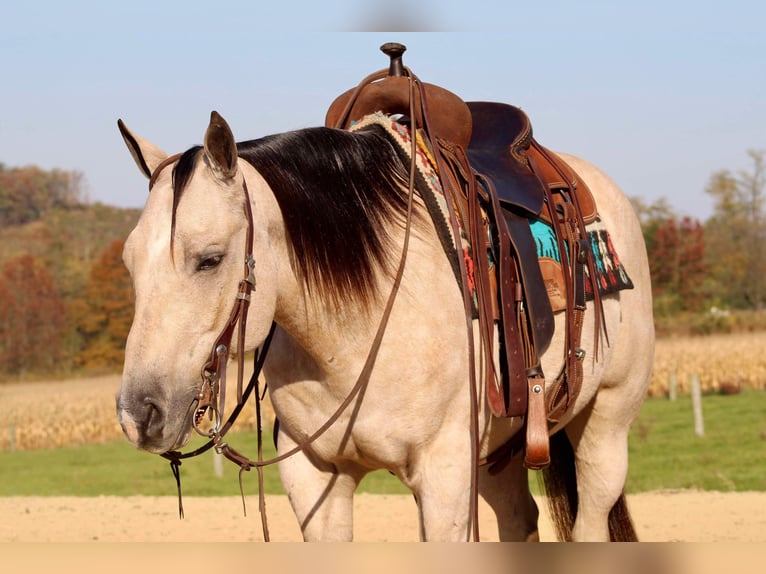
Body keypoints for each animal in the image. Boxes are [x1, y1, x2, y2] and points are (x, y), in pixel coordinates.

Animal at [114, 46, 656, 544]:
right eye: (129, 261)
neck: (353, 330)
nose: (138, 414)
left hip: (605, 423)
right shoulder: (315, 479)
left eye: (210, 258)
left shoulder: (444, 477)